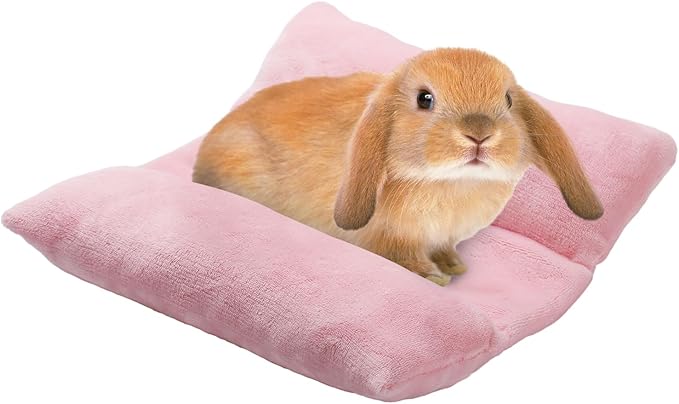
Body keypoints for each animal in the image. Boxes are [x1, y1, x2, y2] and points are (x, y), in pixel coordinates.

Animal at [193, 48, 603, 286]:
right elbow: (404, 257)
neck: (452, 183)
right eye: (425, 99)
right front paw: (434, 277)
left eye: (507, 100)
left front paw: (454, 267)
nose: (479, 134)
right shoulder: (392, 239)